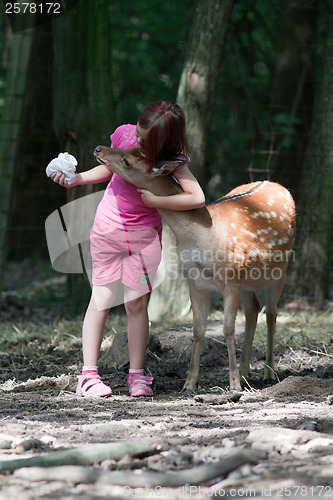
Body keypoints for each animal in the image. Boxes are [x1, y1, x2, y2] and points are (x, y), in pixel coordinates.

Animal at [94, 145, 296, 390]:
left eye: (127, 161)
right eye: (131, 148)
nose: (99, 149)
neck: (202, 236)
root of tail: (278, 185)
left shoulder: (231, 278)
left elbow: (228, 329)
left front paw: (233, 384)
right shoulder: (196, 281)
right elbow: (198, 330)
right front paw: (190, 382)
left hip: (280, 269)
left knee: (272, 313)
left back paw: (267, 372)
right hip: (247, 279)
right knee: (253, 309)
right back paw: (246, 371)